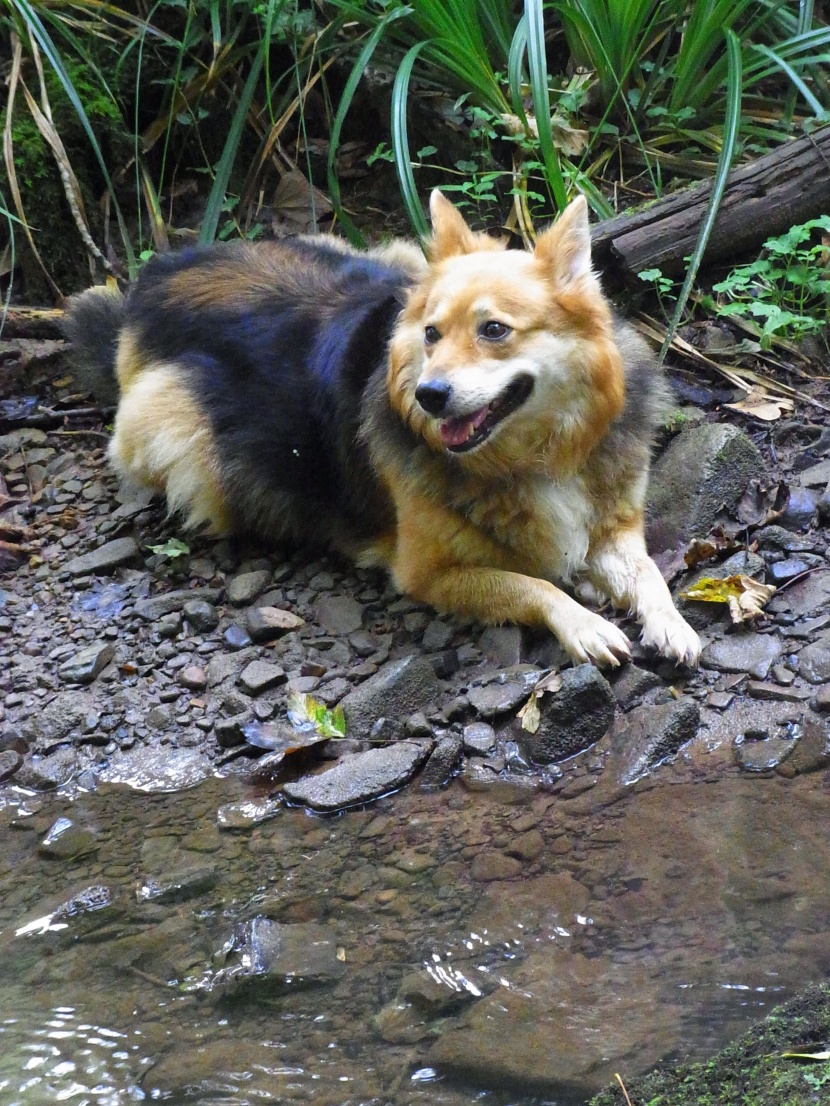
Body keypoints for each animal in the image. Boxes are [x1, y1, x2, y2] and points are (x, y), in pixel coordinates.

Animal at [66, 190, 703, 663]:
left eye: (494, 330)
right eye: (431, 335)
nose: (428, 396)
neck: (536, 454)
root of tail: (154, 278)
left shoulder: (615, 524)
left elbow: (649, 572)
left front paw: (670, 622)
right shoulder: (425, 574)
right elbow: (531, 585)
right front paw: (583, 622)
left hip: (392, 254)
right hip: (180, 433)